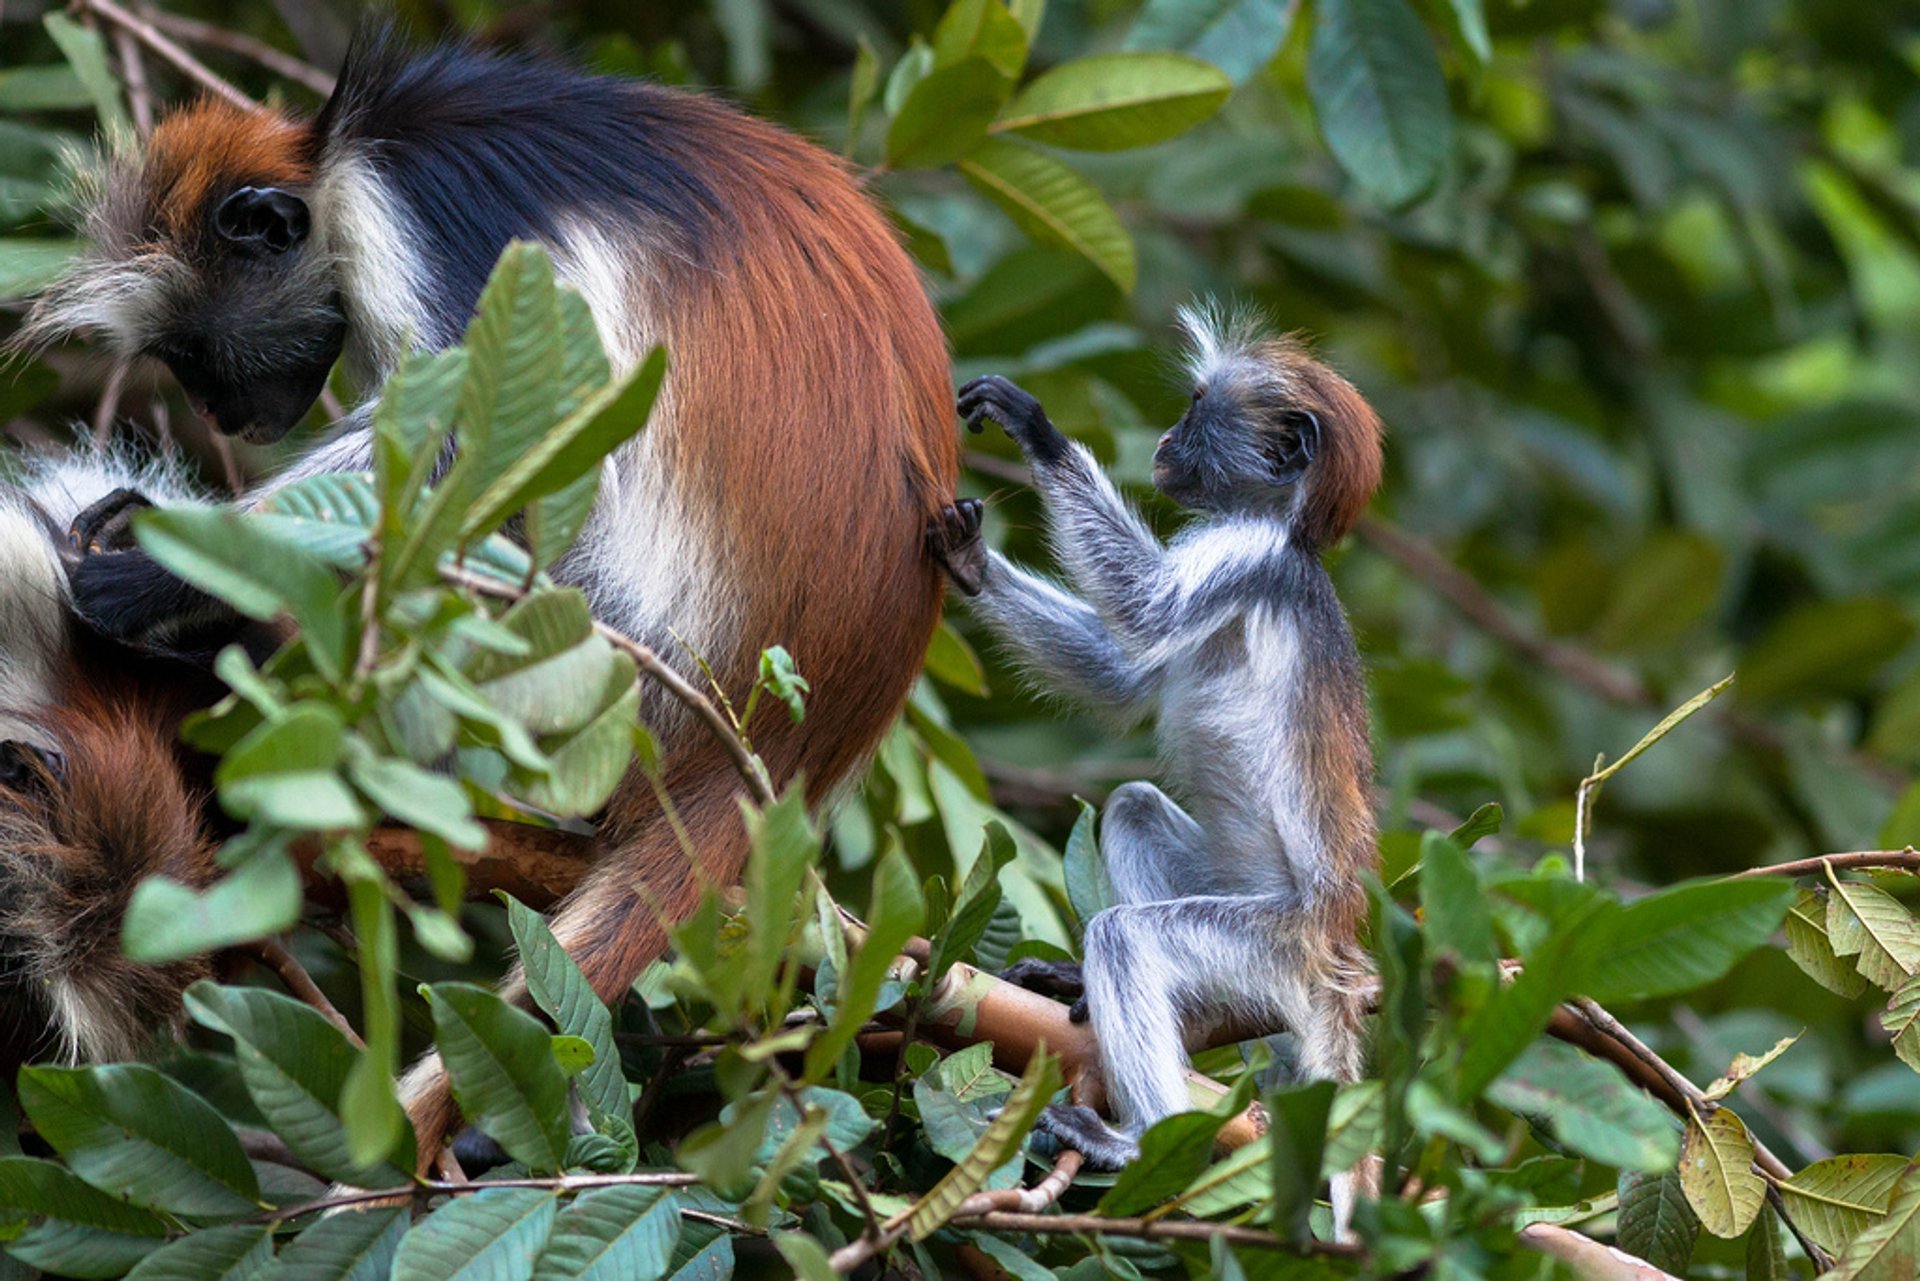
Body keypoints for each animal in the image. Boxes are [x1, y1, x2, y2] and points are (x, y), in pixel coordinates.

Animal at [20, 25, 960, 1167]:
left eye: (199, 352)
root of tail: (784, 742)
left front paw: (150, 567)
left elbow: (480, 448)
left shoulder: (411, 222)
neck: (342, 152)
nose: (225, 417)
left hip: (605, 659)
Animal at [929, 305, 1382, 1190]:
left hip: (1267, 940)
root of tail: (1334, 940)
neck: (1285, 531)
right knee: (1135, 807)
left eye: (1197, 407)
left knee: (1130, 934)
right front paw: (967, 560)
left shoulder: (1244, 552)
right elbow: (1119, 680)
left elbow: (1143, 610)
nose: (1167, 440)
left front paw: (1038, 432)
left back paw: (1140, 1138)